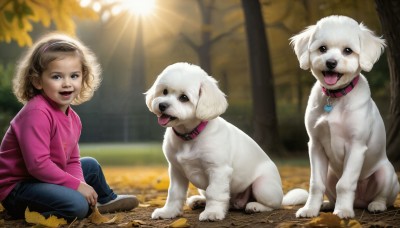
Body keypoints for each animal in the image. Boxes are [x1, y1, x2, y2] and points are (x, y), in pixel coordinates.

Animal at [146, 62, 290, 221]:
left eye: (184, 97)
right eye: (164, 91)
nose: (162, 105)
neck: (189, 136)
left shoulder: (218, 170)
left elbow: (214, 192)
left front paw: (212, 213)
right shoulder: (176, 170)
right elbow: (174, 193)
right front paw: (168, 212)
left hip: (262, 186)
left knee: (274, 205)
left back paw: (255, 206)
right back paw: (199, 201)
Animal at [290, 15, 398, 218]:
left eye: (348, 51)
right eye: (322, 48)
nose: (331, 62)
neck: (335, 97)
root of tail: (360, 201)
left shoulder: (356, 146)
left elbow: (345, 184)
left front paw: (343, 211)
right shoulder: (315, 145)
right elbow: (315, 184)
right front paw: (310, 209)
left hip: (386, 173)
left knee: (383, 197)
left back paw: (375, 205)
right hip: (330, 173)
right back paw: (328, 204)